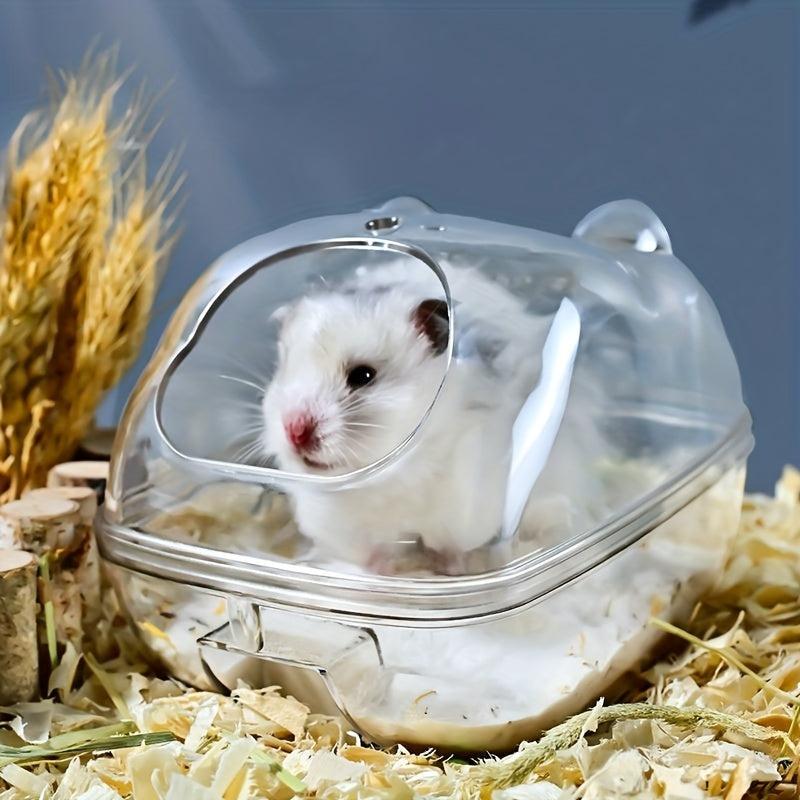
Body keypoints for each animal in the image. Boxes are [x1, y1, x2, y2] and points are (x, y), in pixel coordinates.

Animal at [261, 258, 607, 574]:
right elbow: (371, 557)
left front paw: (451, 571)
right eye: (284, 368)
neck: (392, 476)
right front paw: (381, 576)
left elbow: (452, 548)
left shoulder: (464, 508)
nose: (294, 431)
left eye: (363, 375)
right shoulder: (348, 530)